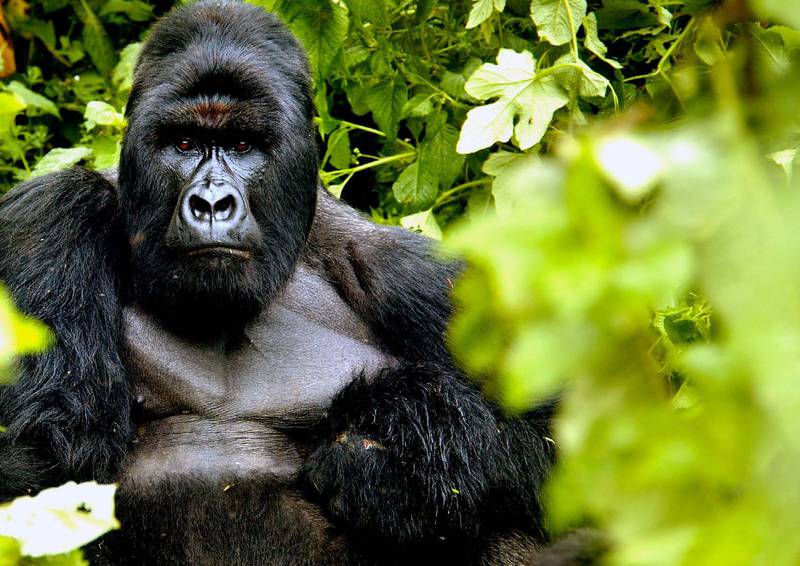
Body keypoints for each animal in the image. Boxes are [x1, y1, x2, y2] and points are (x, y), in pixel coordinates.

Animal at [0, 2, 564, 564]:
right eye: (183, 143)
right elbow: (44, 452)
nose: (211, 204)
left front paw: (405, 447)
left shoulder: (417, 275)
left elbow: (554, 439)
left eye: (242, 144)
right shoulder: (50, 215)